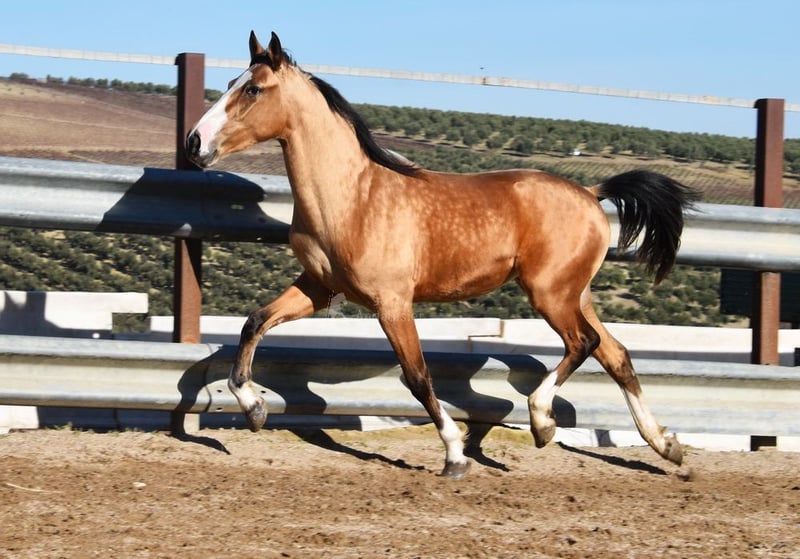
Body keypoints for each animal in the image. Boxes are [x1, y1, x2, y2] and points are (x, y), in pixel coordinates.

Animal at [186, 30, 699, 478]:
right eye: (230, 85)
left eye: (253, 88)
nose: (194, 142)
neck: (352, 199)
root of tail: (592, 194)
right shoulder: (319, 288)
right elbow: (254, 322)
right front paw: (254, 409)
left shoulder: (392, 303)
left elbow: (417, 377)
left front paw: (455, 456)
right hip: (576, 294)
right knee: (616, 355)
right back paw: (667, 446)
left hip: (549, 294)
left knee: (583, 344)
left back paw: (542, 422)